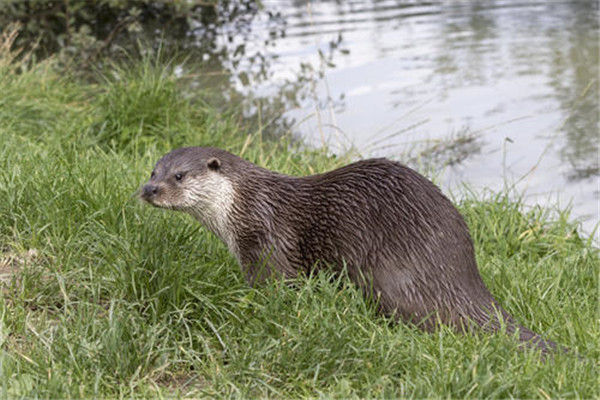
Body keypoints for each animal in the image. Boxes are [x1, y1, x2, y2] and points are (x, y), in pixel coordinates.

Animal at [141, 146, 556, 354]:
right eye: (153, 171)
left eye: (179, 175)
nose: (149, 190)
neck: (244, 205)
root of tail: (460, 272)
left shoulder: (267, 241)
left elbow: (275, 287)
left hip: (388, 276)